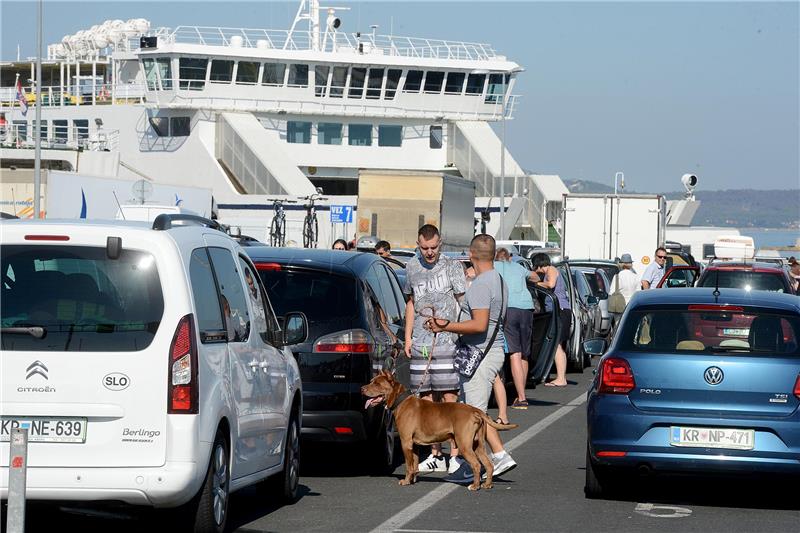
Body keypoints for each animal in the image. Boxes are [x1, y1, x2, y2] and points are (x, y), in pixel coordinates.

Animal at [362, 370, 520, 490]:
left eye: (377, 384)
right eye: (371, 381)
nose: (362, 389)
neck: (400, 400)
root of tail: (474, 410)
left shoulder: (405, 442)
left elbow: (408, 465)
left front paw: (406, 481)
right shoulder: (414, 445)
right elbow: (414, 464)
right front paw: (413, 480)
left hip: (464, 444)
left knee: (476, 464)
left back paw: (475, 486)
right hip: (478, 444)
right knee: (488, 464)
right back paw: (487, 484)